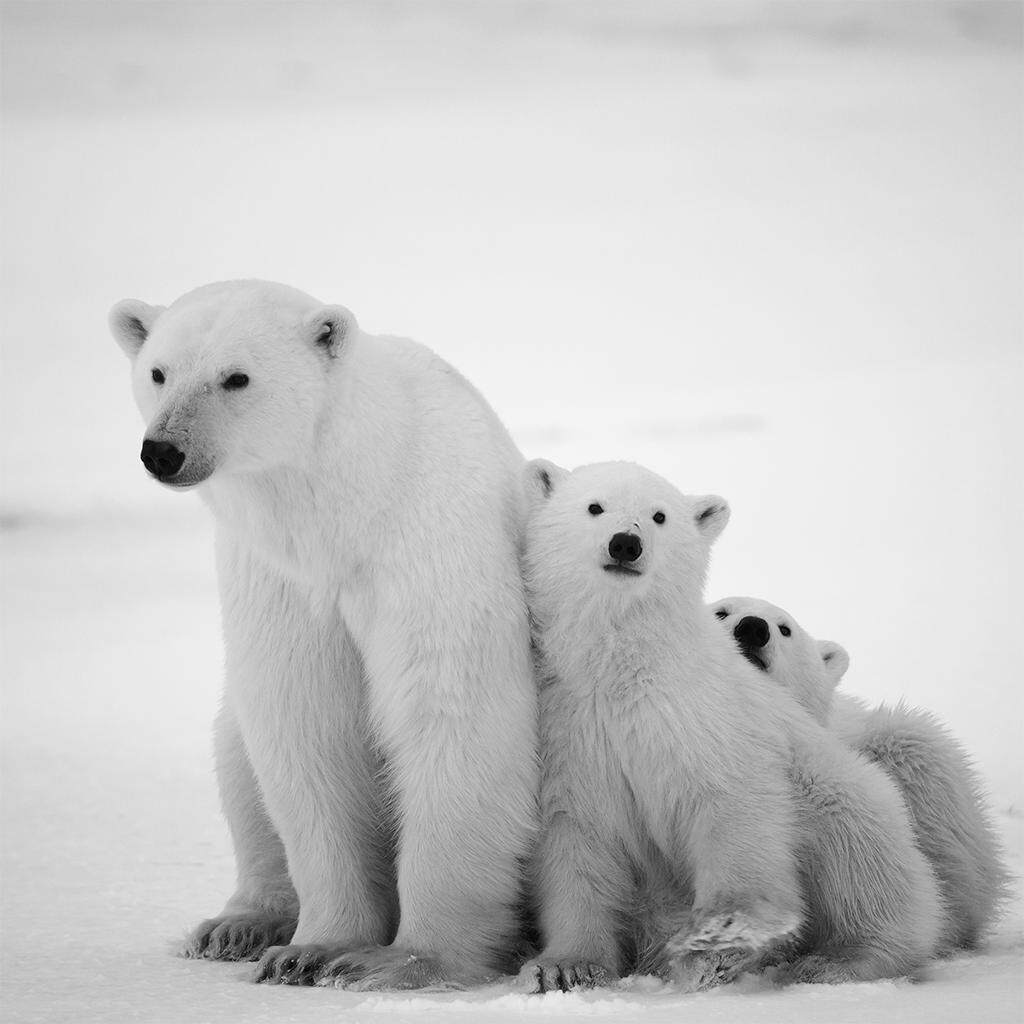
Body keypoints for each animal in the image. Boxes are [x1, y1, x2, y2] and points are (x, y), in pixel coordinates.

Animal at [105, 276, 536, 987]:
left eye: (236, 377)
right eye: (158, 372)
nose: (163, 451)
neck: (347, 507)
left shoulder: (430, 544)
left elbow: (451, 711)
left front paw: (405, 962)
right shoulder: (280, 577)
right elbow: (304, 721)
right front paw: (312, 950)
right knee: (235, 753)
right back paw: (239, 924)